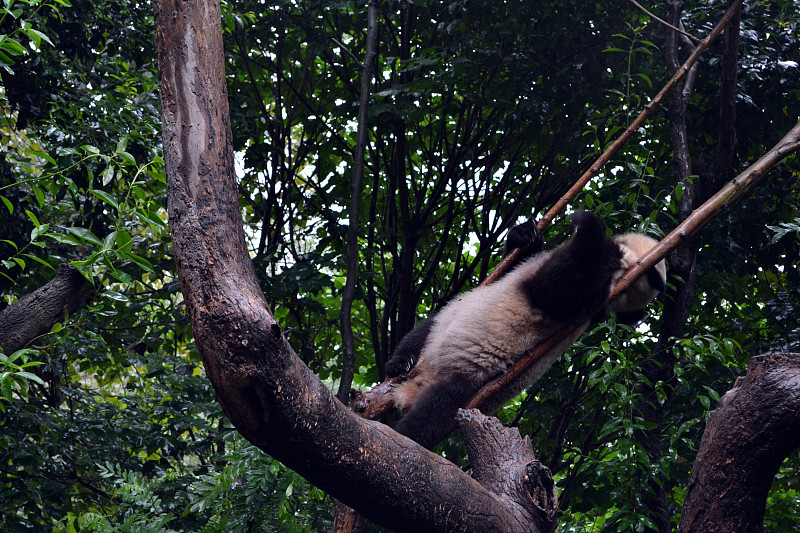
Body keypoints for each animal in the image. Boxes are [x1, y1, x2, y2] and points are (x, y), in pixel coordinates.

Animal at [384, 210, 664, 446]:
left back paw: (403, 434)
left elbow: (554, 289)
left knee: (435, 410)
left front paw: (586, 224)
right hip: (443, 325)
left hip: (466, 381)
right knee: (422, 332)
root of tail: (410, 392)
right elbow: (516, 264)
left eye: (625, 293)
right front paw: (526, 233)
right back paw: (401, 363)